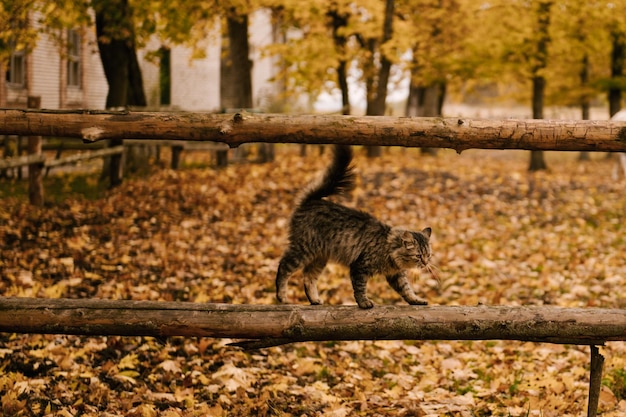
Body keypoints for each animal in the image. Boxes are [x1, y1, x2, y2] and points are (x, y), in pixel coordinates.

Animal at [276, 145, 432, 308]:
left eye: (428, 255)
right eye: (418, 256)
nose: (426, 263)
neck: (388, 247)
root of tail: (312, 201)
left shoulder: (396, 275)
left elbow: (407, 290)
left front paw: (416, 300)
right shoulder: (360, 267)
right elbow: (360, 288)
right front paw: (364, 303)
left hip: (319, 257)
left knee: (308, 277)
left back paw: (314, 300)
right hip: (303, 249)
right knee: (284, 267)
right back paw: (282, 297)